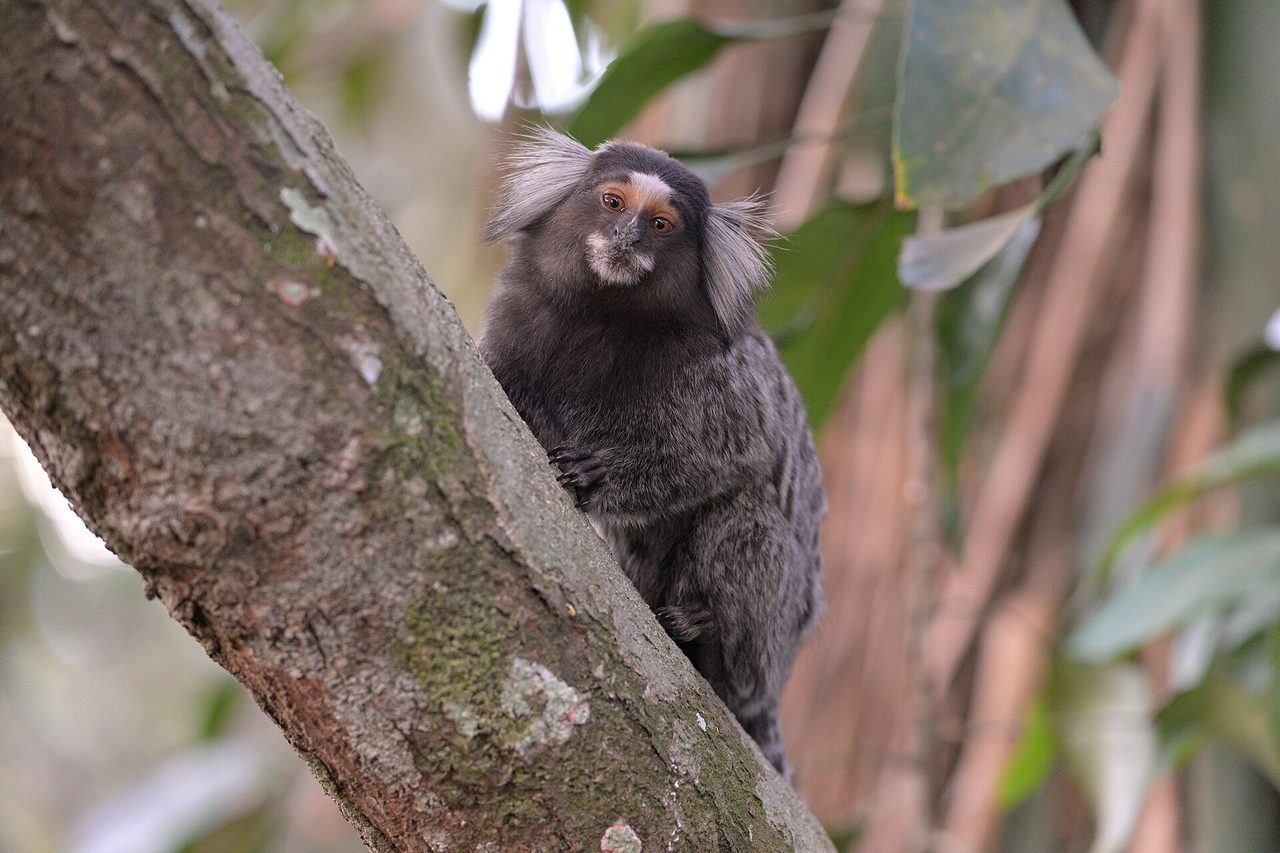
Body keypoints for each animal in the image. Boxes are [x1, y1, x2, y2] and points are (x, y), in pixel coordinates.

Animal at [479, 128, 825, 779]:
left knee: (747, 515)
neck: (602, 319)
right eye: (613, 203)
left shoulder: (713, 374)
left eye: (662, 224)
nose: (627, 236)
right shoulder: (518, 322)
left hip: (774, 642)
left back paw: (705, 640)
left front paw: (599, 476)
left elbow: (734, 456)